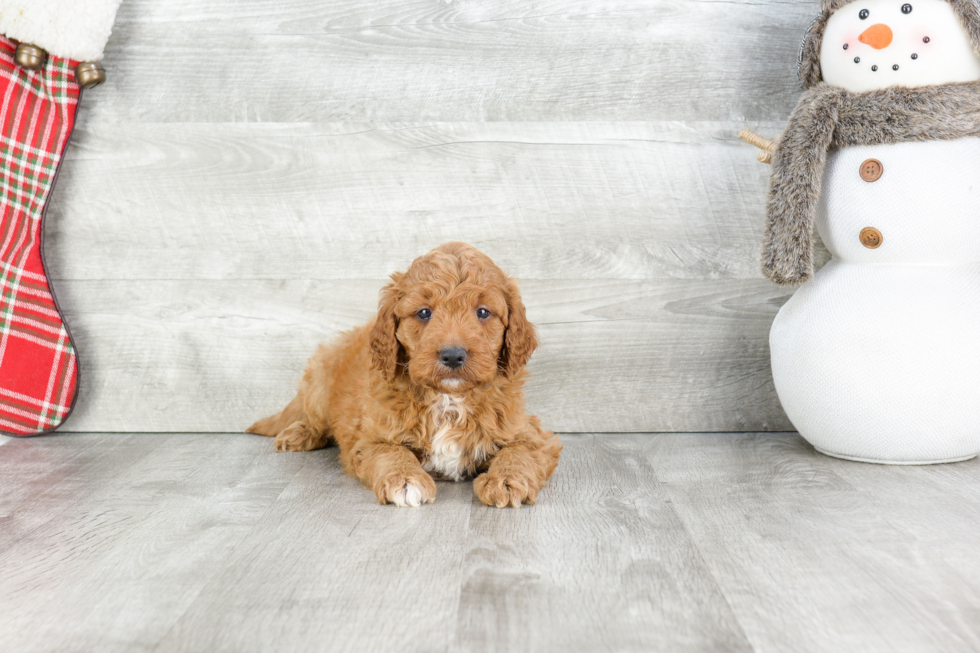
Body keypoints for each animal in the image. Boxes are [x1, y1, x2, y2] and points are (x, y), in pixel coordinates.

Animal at [249, 242, 564, 506]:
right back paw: (298, 434)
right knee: (312, 417)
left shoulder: (529, 431)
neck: (449, 399)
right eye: (424, 313)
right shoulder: (371, 437)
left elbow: (519, 451)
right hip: (320, 384)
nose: (452, 355)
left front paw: (507, 479)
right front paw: (405, 480)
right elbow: (391, 452)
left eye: (483, 312)